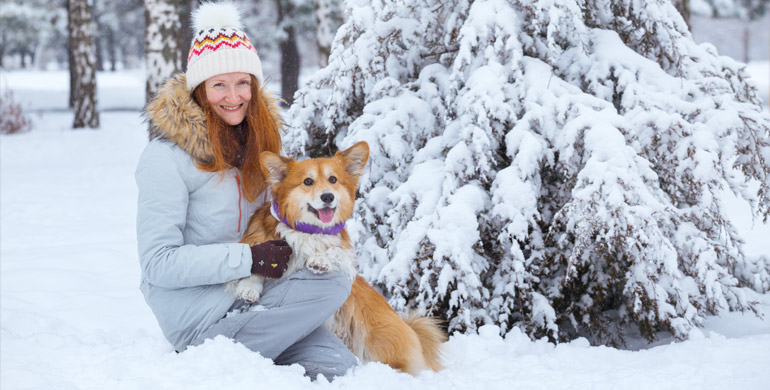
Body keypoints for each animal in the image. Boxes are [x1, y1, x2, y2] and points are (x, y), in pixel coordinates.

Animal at [228, 141, 444, 374]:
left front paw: (320, 259)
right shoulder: (258, 242)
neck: (308, 230)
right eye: (308, 181)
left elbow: (332, 252)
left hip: (377, 338)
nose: (328, 197)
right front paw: (249, 287)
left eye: (333, 180)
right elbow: (256, 260)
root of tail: (410, 328)